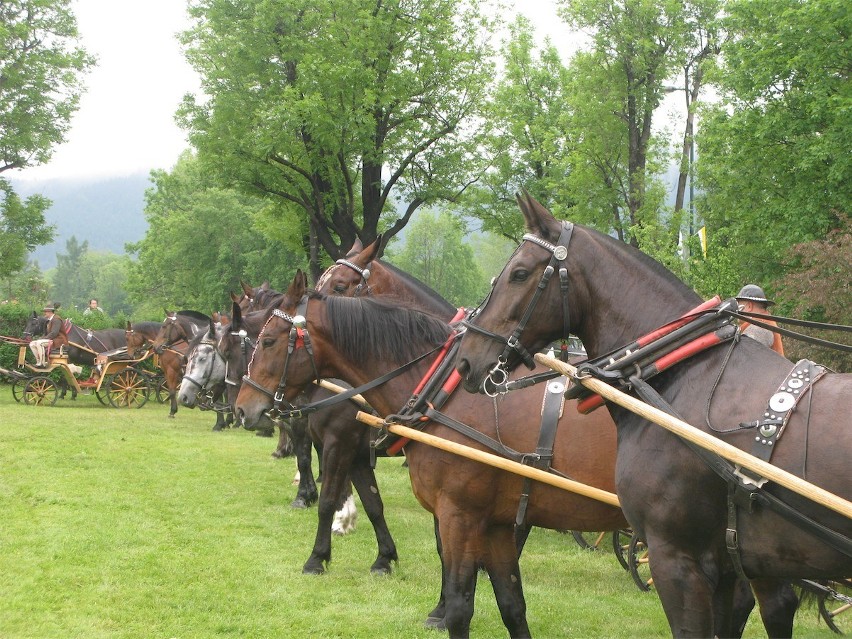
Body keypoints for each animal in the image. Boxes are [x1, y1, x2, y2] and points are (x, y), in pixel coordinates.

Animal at [233, 272, 624, 639]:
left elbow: (331, 500)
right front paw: (382, 558)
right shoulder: (484, 516)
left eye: (268, 341)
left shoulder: (447, 506)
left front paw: (317, 558)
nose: (241, 408)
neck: (440, 391)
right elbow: (375, 504)